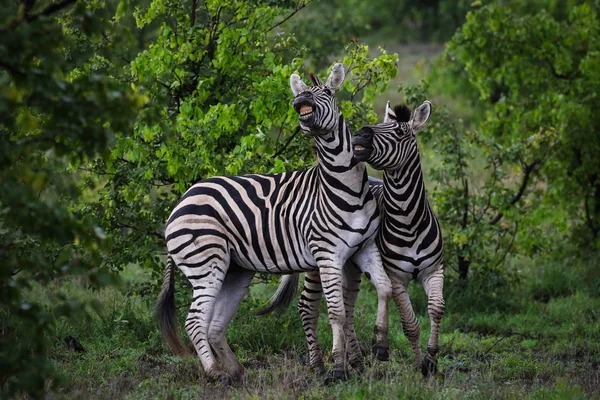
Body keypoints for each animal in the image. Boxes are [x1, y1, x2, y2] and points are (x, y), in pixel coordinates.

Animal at [155, 63, 394, 384]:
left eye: (327, 92)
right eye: (303, 93)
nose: (300, 100)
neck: (347, 187)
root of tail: (181, 200)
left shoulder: (364, 248)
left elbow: (384, 288)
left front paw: (380, 346)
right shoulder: (328, 254)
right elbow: (337, 313)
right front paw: (338, 368)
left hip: (235, 270)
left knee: (215, 324)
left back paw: (237, 371)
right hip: (206, 262)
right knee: (195, 321)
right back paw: (216, 373)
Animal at [262, 99, 446, 376]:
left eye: (400, 132)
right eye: (380, 124)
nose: (361, 133)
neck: (409, 221)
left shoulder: (434, 271)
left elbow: (436, 311)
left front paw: (431, 361)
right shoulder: (397, 278)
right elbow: (410, 323)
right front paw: (418, 366)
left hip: (351, 265)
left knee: (346, 308)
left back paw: (356, 363)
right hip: (318, 263)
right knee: (308, 306)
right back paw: (322, 365)